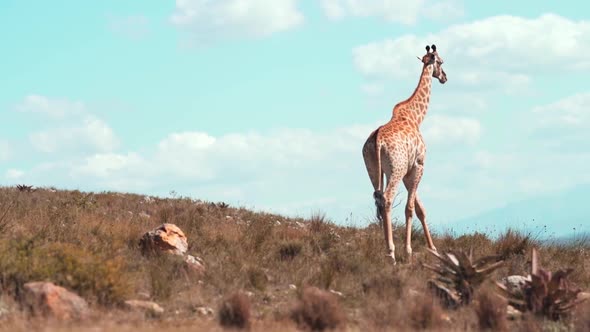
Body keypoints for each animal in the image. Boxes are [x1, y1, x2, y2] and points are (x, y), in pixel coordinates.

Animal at [360, 44, 448, 264]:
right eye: (441, 61)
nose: (444, 77)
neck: (416, 117)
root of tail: (378, 141)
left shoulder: (409, 171)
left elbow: (420, 209)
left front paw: (433, 249)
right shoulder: (418, 165)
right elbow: (410, 209)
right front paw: (408, 251)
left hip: (373, 170)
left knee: (379, 199)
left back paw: (387, 250)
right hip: (395, 170)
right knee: (388, 199)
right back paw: (391, 253)